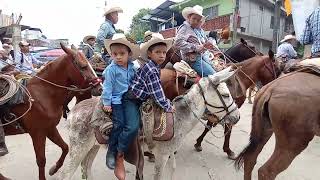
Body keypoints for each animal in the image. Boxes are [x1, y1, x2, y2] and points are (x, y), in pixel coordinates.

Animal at [1, 44, 100, 180]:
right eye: (83, 66)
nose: (100, 88)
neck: (43, 94)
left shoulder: (49, 128)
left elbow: (65, 147)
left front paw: (54, 169)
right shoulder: (38, 133)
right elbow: (41, 160)